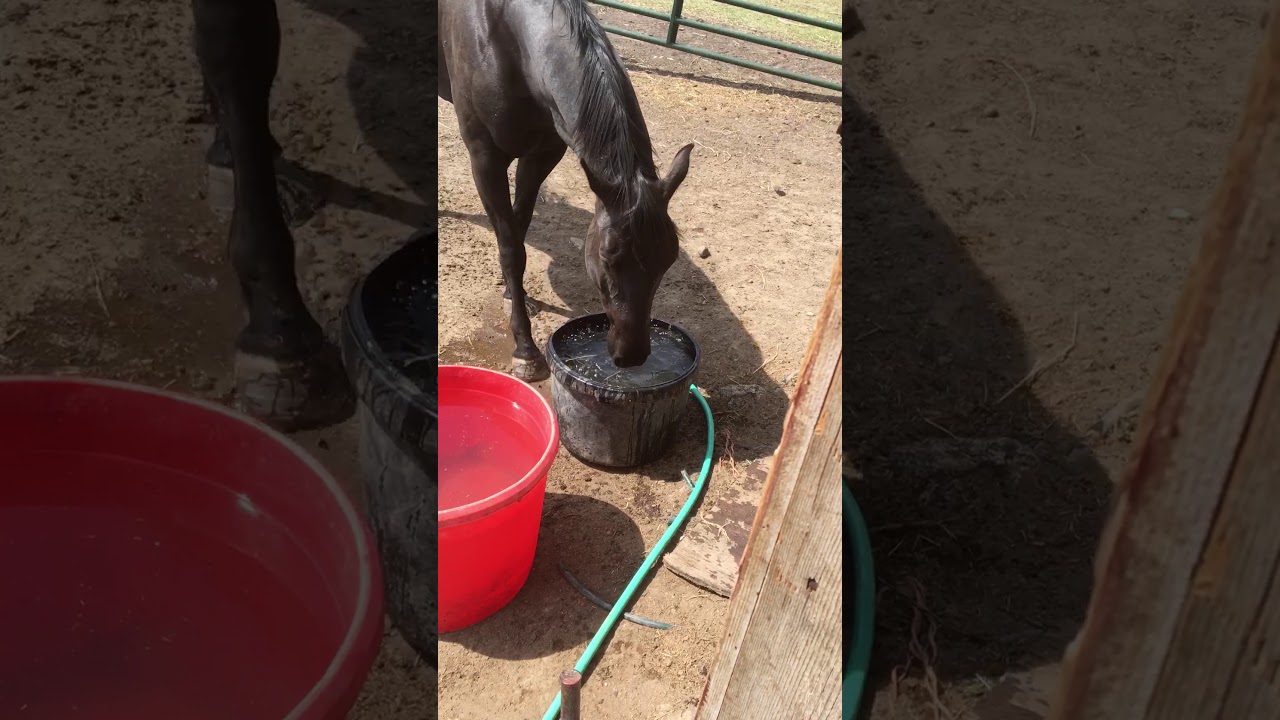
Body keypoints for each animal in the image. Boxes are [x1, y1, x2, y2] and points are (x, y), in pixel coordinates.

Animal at [438, 0, 694, 382]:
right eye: (608, 257)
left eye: (670, 258)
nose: (632, 355)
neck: (503, 34)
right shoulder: (485, 158)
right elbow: (511, 248)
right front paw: (526, 350)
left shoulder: (541, 154)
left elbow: (517, 230)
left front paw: (511, 294)